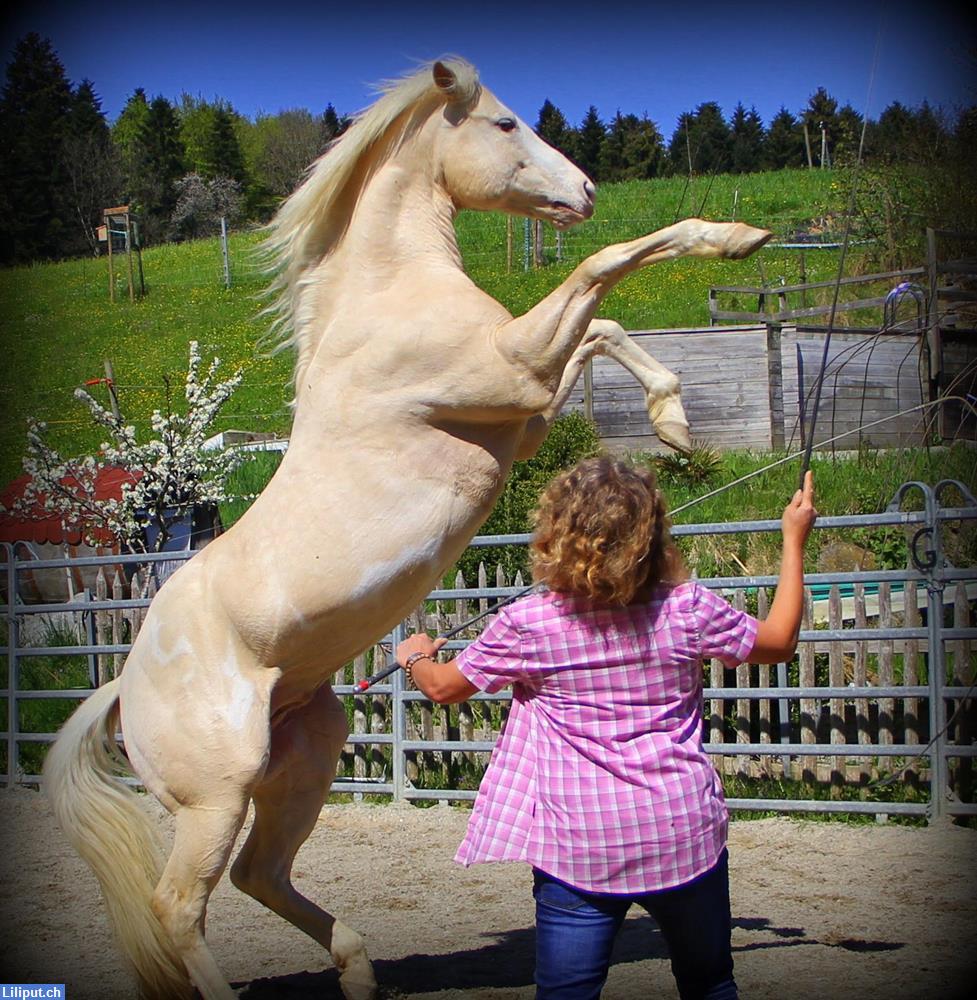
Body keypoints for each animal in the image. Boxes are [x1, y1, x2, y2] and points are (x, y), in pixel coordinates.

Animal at [42, 60, 768, 1000]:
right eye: (504, 124)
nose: (583, 191)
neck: (385, 297)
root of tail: (124, 690)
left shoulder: (523, 407)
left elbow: (603, 323)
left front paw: (673, 421)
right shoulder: (515, 370)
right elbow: (606, 268)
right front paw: (733, 239)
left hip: (305, 756)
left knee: (259, 876)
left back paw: (357, 969)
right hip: (216, 796)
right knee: (179, 907)